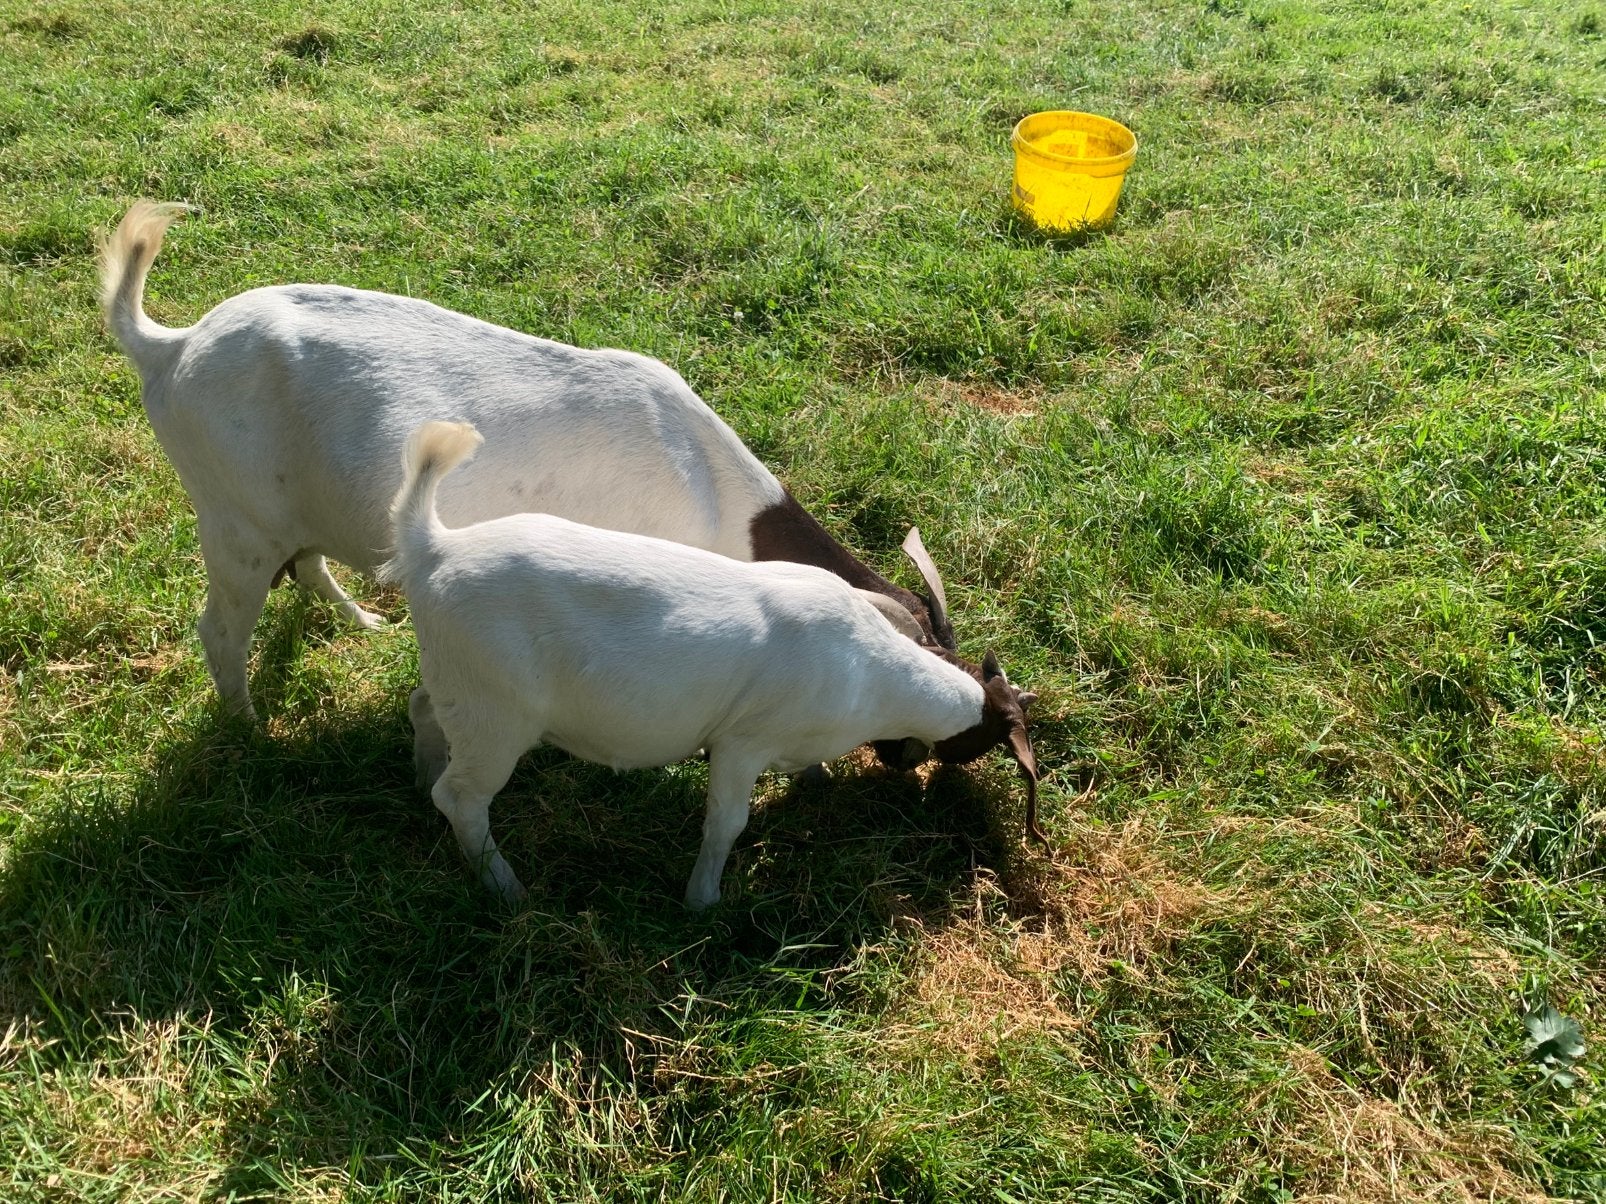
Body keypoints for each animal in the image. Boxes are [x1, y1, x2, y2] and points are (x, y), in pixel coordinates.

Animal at [99, 201, 957, 727]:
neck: (716, 496)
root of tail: (169, 347)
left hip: (290, 506)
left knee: (307, 563)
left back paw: (365, 623)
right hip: (233, 514)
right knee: (220, 626)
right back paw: (247, 727)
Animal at [383, 421, 1043, 908]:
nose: (905, 769)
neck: (873, 672)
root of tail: (434, 546)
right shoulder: (740, 744)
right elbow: (726, 824)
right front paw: (703, 903)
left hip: (457, 681)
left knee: (423, 709)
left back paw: (419, 777)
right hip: (498, 714)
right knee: (462, 798)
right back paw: (507, 889)